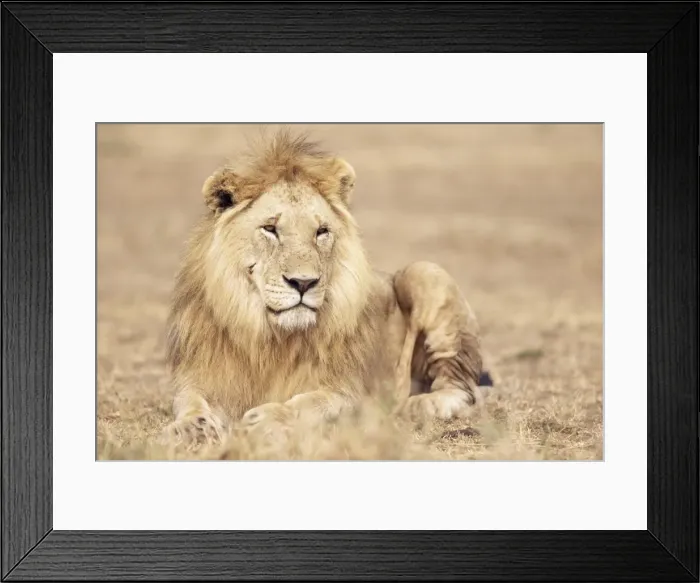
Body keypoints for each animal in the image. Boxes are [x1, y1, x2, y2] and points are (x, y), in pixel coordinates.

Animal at [161, 130, 494, 447]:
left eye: (321, 231)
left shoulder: (349, 392)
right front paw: (191, 429)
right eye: (270, 229)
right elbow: (189, 401)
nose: (303, 283)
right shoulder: (201, 374)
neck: (270, 339)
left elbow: (313, 403)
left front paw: (269, 418)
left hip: (426, 273)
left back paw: (418, 405)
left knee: (462, 389)